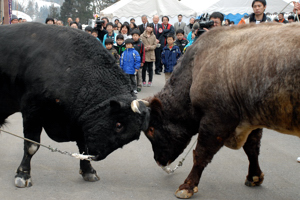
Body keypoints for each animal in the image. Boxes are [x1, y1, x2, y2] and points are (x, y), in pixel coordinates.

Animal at [0, 23, 149, 188]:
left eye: (130, 139)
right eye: (118, 125)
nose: (97, 155)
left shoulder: (81, 126)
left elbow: (83, 149)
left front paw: (89, 171)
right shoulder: (32, 112)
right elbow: (31, 146)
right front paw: (23, 174)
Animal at [142, 23, 300, 198]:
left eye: (151, 129)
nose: (158, 160)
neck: (196, 68)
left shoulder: (217, 121)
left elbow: (201, 154)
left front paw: (188, 185)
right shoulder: (251, 120)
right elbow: (252, 149)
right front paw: (254, 176)